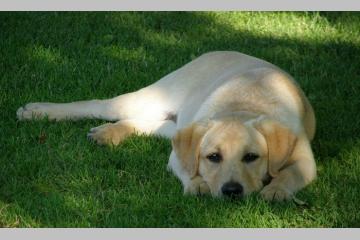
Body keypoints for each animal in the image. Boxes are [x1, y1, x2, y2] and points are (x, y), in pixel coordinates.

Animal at [16, 51, 316, 202]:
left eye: (252, 157)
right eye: (213, 157)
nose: (232, 192)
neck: (243, 108)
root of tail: (218, 51)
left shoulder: (304, 158)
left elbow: (291, 174)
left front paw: (276, 190)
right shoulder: (179, 156)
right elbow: (188, 169)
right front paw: (198, 184)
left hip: (173, 125)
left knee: (144, 124)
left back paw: (107, 133)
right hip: (152, 98)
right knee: (97, 105)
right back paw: (36, 111)